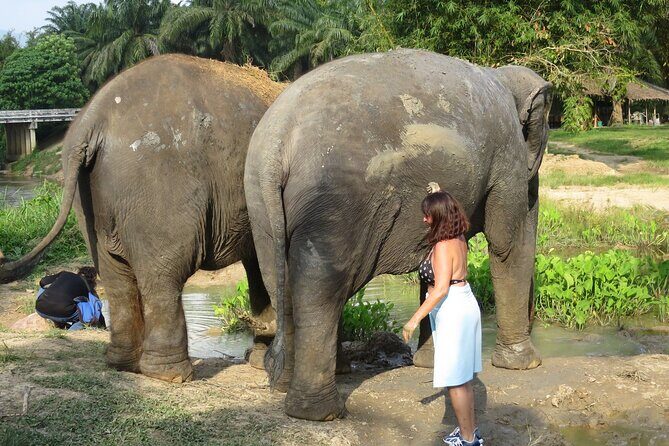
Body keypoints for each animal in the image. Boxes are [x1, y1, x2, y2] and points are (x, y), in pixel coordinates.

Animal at [0, 54, 284, 382]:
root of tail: (93, 119)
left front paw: (260, 357)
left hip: (91, 198)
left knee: (116, 278)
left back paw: (123, 364)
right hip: (159, 188)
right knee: (164, 276)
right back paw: (170, 375)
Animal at [244, 48, 552, 420]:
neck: (500, 76)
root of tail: (278, 141)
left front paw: (429, 365)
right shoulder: (506, 156)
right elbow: (508, 245)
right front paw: (525, 365)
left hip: (260, 203)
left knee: (281, 279)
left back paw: (286, 383)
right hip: (335, 202)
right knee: (321, 288)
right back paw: (320, 411)